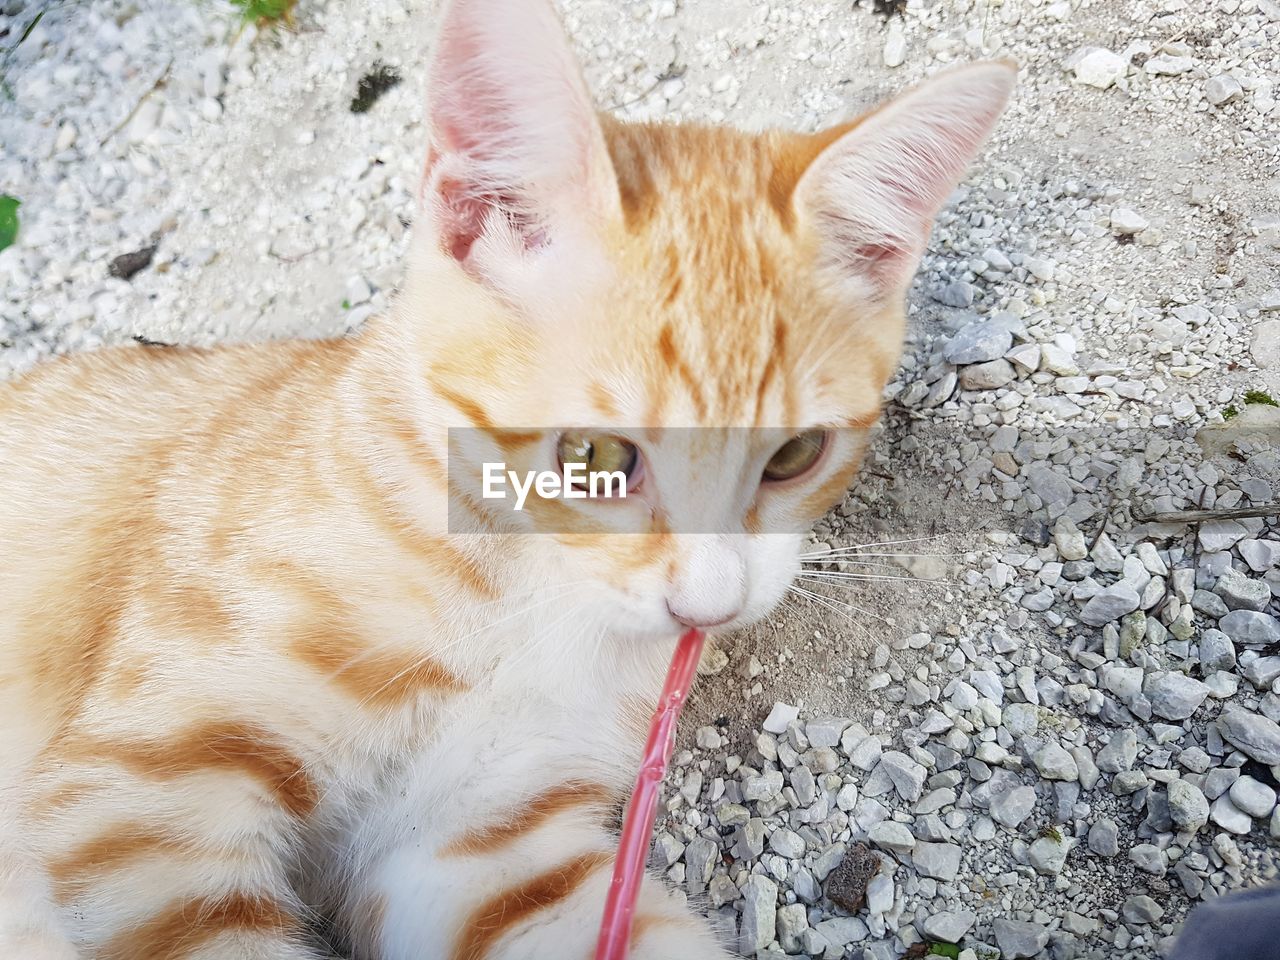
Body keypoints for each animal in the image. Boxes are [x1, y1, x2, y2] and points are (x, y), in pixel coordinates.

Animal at [0, 0, 1013, 957]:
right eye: (594, 457)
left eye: (795, 455)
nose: (710, 605)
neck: (522, 588)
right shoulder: (139, 801)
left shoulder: (474, 844)